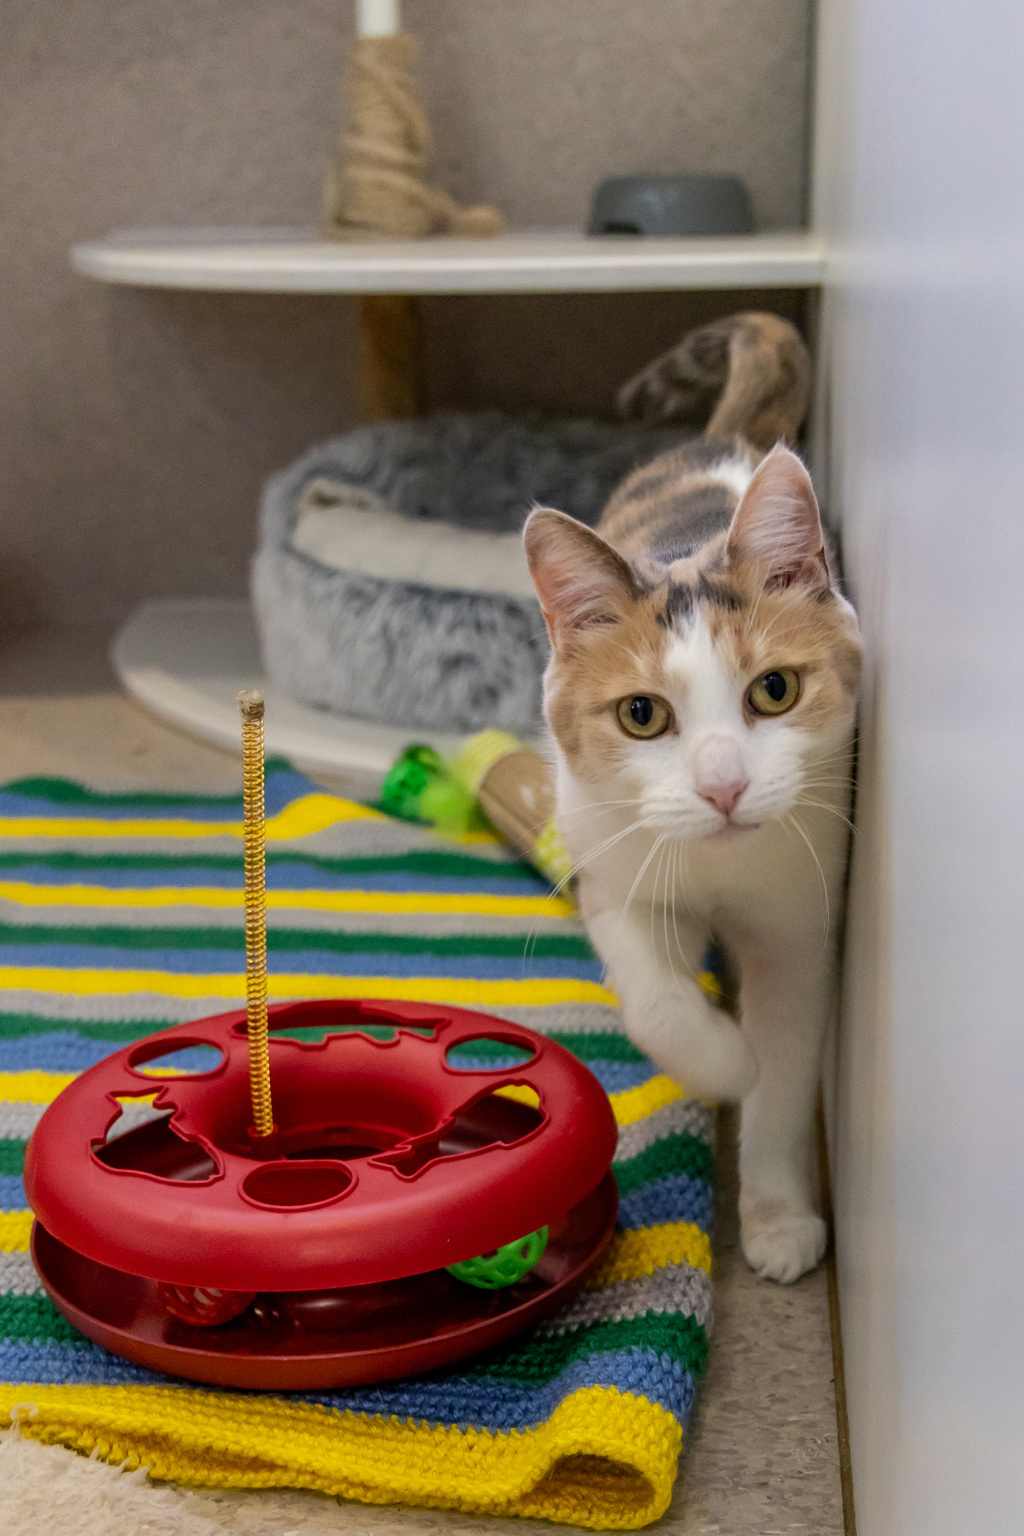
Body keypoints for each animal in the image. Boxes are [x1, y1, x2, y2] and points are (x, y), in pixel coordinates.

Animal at [523, 436, 862, 1284]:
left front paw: (778, 1218)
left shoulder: (798, 931)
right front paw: (728, 1063)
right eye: (641, 714)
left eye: (774, 690)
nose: (723, 787)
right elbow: (658, 1005)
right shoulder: (615, 875)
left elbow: (787, 1070)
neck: (720, 869)